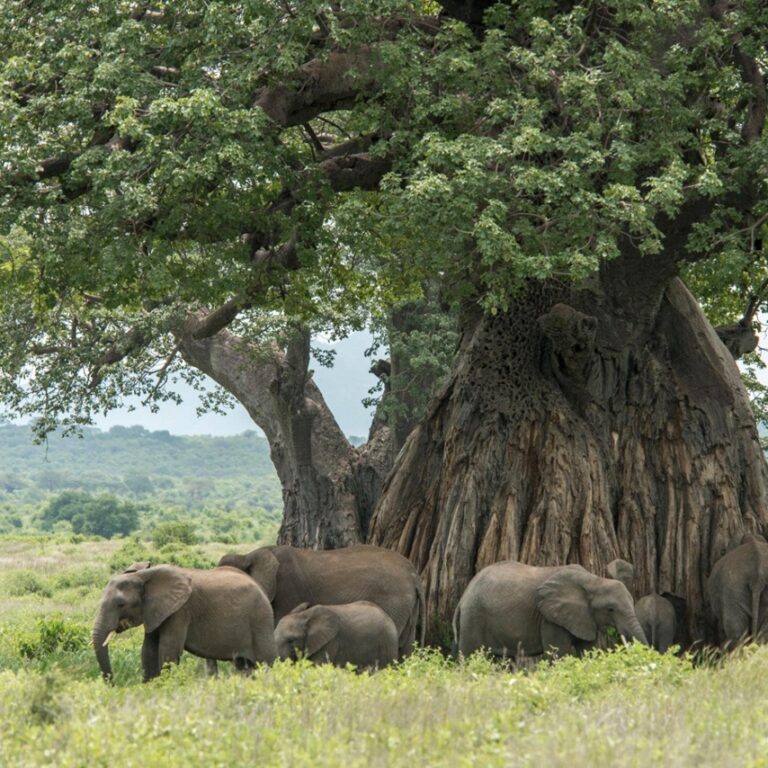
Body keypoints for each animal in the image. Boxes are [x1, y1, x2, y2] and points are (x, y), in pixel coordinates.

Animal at [92, 564, 276, 681]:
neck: (143, 575)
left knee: (265, 663)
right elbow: (148, 650)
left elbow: (168, 649)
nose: (113, 684)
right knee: (244, 666)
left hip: (261, 620)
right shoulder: (154, 611)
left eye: (121, 604)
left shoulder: (180, 611)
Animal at [218, 544, 424, 658]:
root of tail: (413, 574)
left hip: (393, 600)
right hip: (408, 605)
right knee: (404, 648)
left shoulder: (287, 591)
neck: (249, 555)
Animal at [453, 561, 648, 659]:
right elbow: (557, 654)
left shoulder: (585, 617)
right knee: (470, 657)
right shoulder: (550, 619)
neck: (593, 580)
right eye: (610, 609)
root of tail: (463, 598)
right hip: (473, 619)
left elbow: (588, 651)